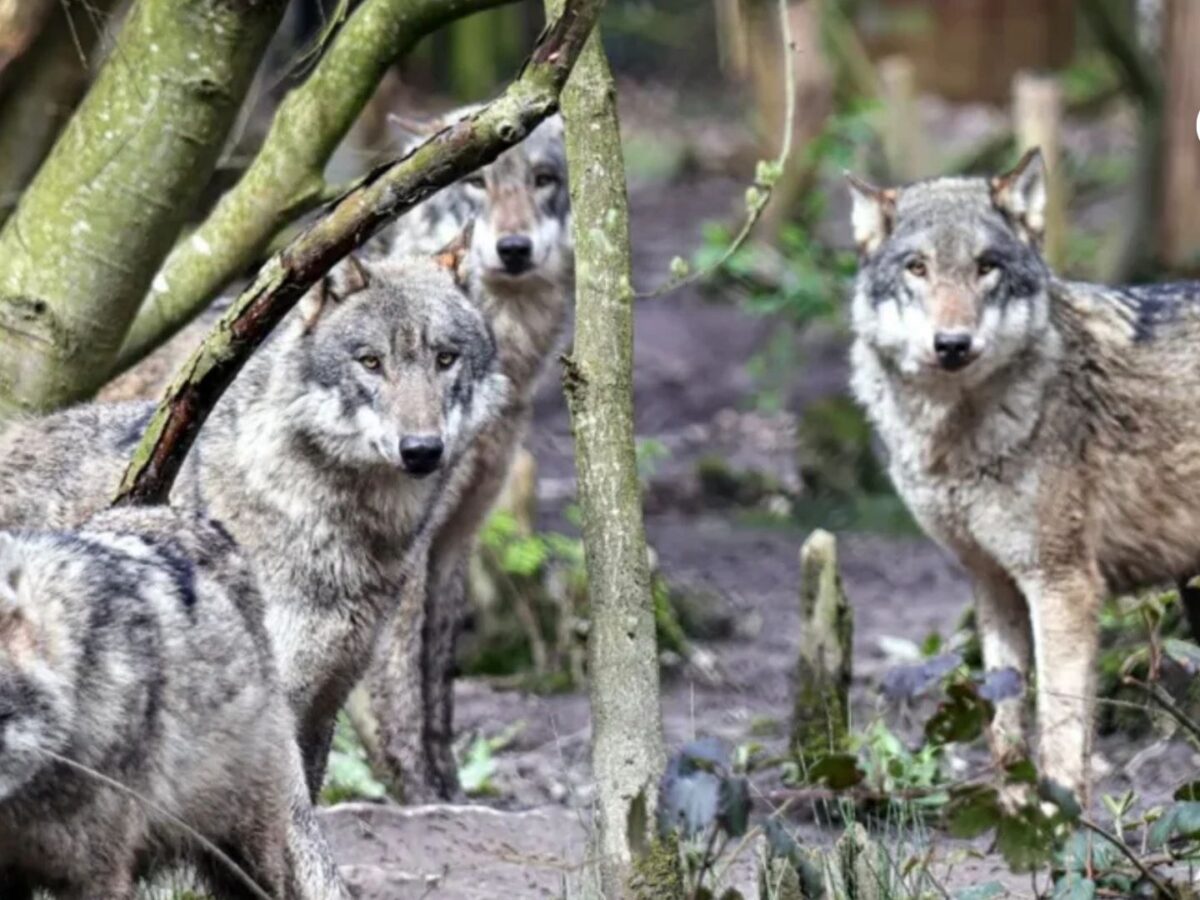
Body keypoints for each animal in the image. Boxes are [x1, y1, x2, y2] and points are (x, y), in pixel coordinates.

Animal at [360, 111, 573, 798]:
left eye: (542, 179)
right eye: (476, 182)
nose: (513, 248)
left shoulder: (457, 536)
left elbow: (439, 678)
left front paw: (449, 787)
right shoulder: (404, 549)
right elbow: (399, 687)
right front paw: (418, 796)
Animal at [846, 148, 1200, 801]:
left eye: (986, 267)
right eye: (917, 268)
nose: (952, 344)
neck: (958, 439)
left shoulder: (1063, 583)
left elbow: (1059, 732)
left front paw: (1061, 818)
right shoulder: (992, 582)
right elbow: (1005, 728)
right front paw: (1013, 819)